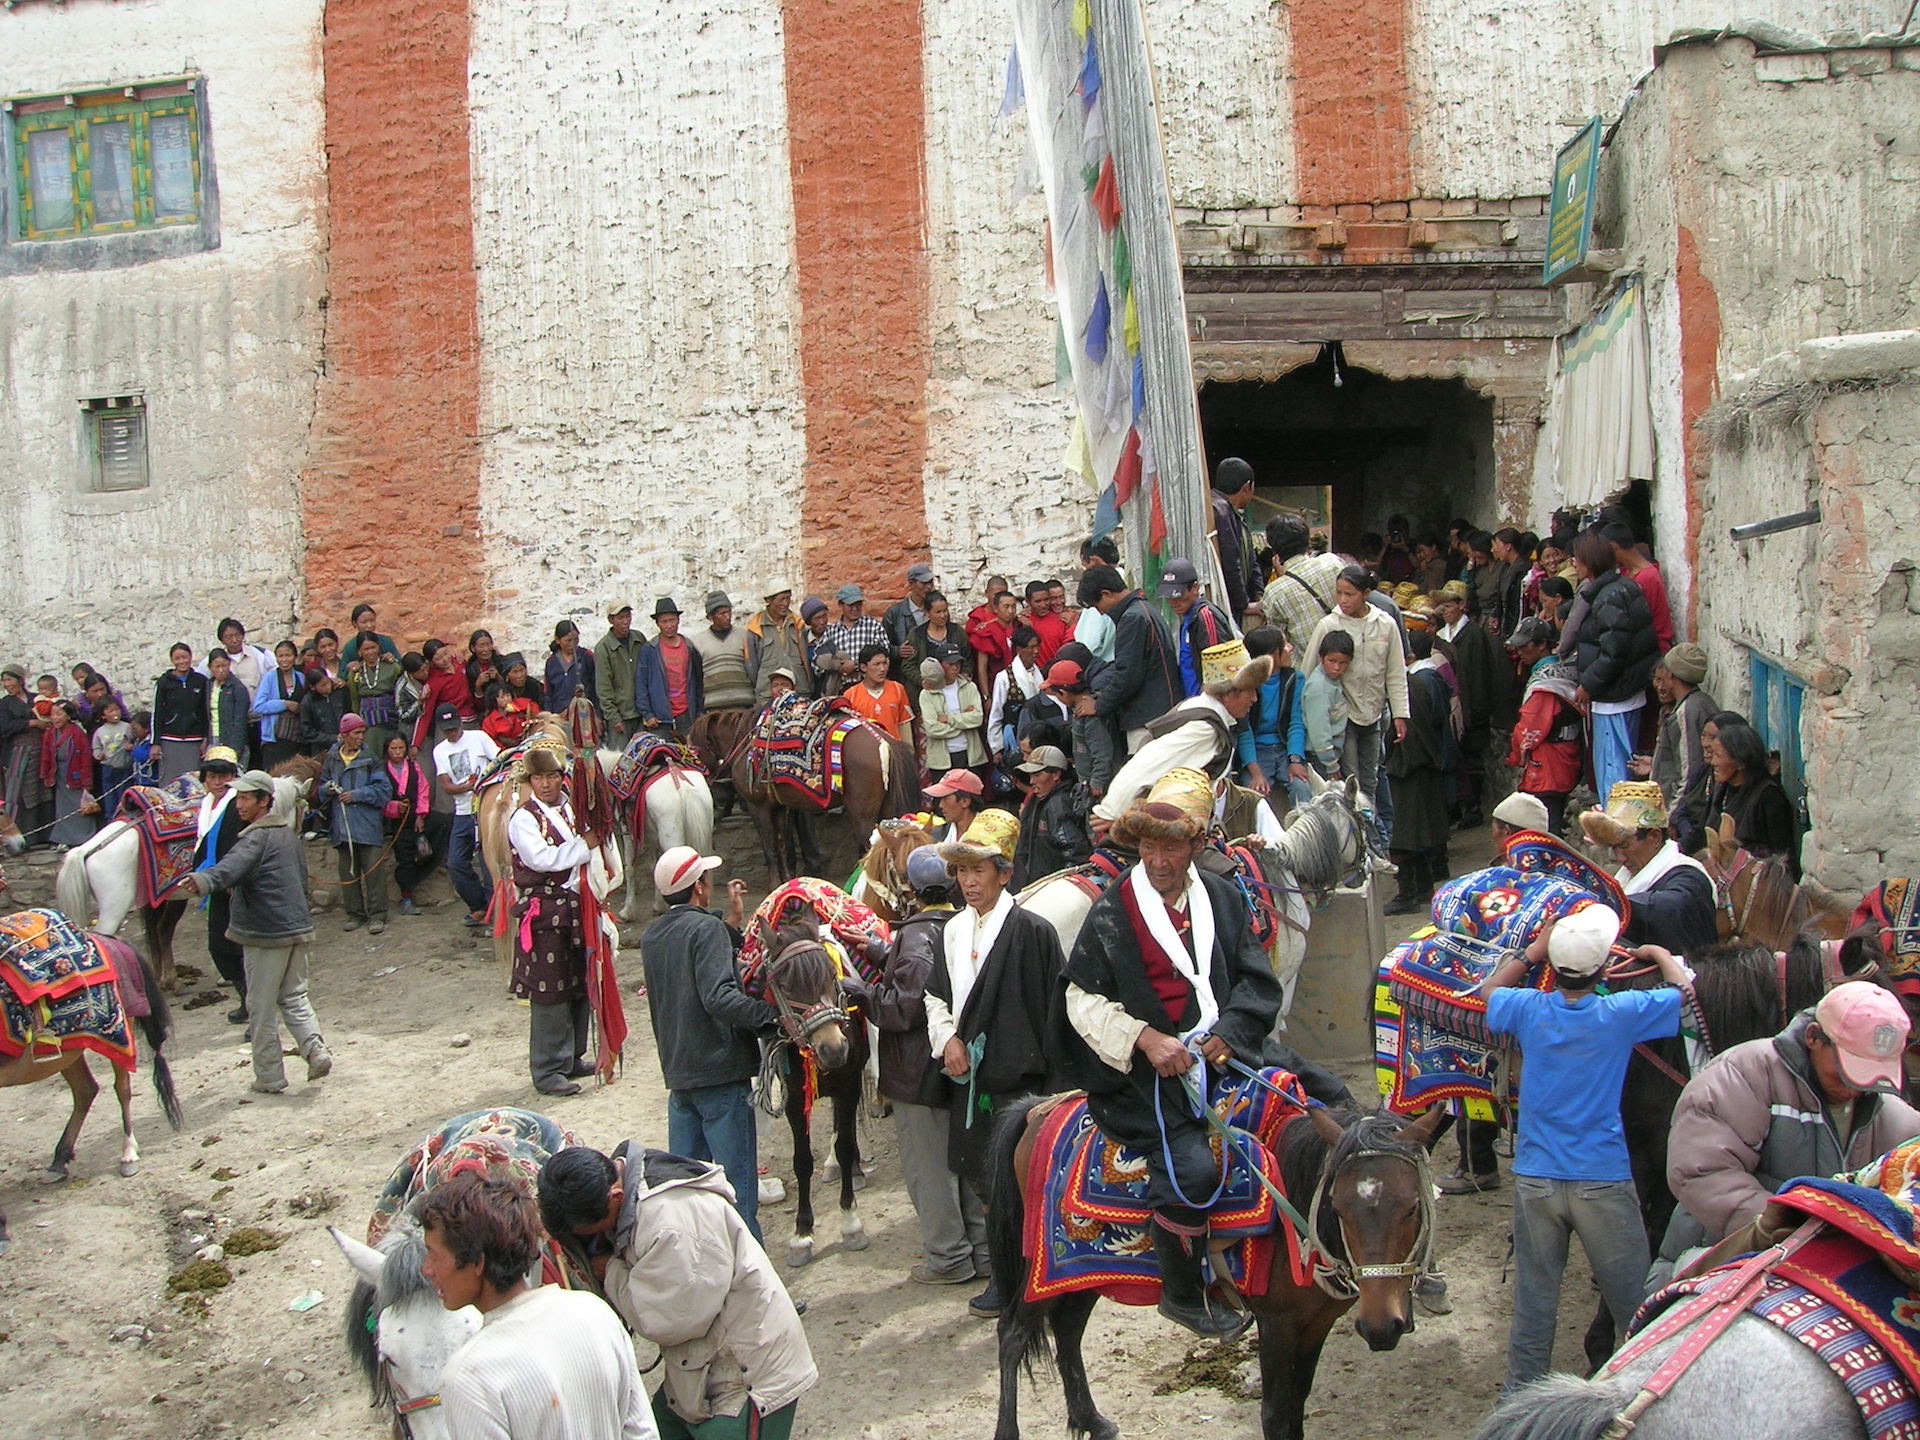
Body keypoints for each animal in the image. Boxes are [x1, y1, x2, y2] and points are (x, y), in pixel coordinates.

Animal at [729, 718, 917, 879]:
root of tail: (886, 742)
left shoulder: (757, 807)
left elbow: (770, 852)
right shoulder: (778, 807)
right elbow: (782, 848)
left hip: (863, 815)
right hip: (888, 809)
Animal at [990, 1090, 1443, 1440]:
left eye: (1412, 1207)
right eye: (1338, 1205)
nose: (1382, 1327)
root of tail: (1038, 1109)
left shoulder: (1316, 1323)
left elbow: (1297, 1404)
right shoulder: (1277, 1324)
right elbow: (1277, 1416)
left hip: (1085, 1269)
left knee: (1067, 1330)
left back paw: (1091, 1421)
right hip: (1044, 1266)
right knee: (1012, 1334)